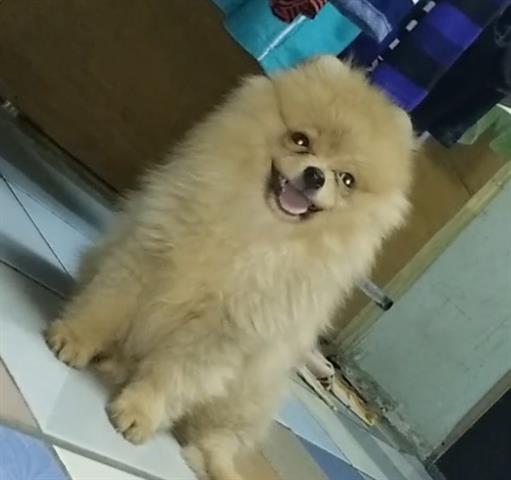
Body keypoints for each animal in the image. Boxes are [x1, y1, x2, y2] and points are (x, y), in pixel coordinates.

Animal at [46, 56, 414, 480]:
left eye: (347, 180)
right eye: (300, 140)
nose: (315, 175)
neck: (255, 229)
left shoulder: (226, 333)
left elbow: (172, 376)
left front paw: (139, 412)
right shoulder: (146, 256)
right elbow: (105, 306)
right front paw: (73, 338)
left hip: (246, 398)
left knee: (219, 441)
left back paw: (218, 465)